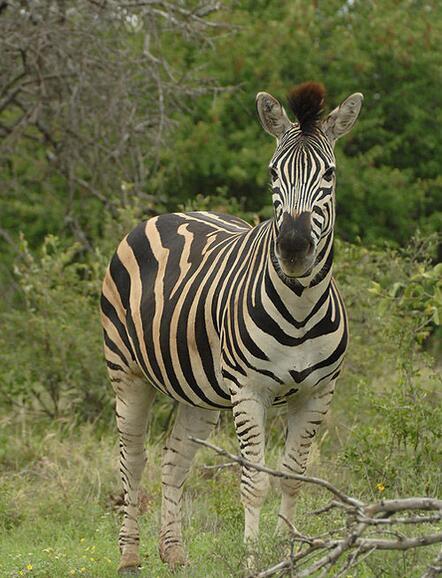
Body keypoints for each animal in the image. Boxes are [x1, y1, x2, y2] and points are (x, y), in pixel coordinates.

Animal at [100, 81, 362, 572]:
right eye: (273, 172)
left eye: (330, 174)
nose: (293, 247)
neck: (300, 306)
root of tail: (168, 214)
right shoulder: (249, 391)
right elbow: (255, 483)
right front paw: (254, 563)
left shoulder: (318, 395)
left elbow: (293, 478)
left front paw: (291, 556)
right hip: (126, 372)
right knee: (133, 460)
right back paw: (129, 556)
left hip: (199, 393)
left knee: (173, 460)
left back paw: (174, 552)